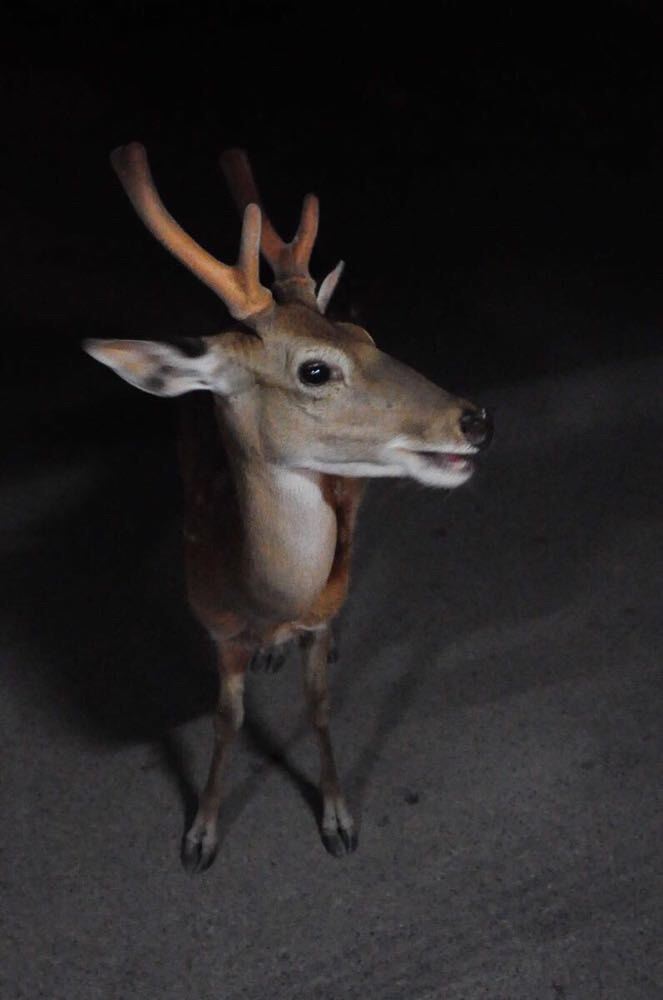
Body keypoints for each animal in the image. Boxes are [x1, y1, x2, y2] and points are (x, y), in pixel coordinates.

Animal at [85, 143, 492, 876]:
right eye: (315, 370)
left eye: (367, 334)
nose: (473, 420)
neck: (263, 596)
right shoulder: (214, 626)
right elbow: (226, 720)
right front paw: (201, 834)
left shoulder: (319, 605)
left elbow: (320, 706)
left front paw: (337, 818)